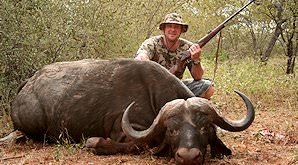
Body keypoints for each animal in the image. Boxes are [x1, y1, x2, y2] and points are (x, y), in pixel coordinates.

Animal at [10, 58, 255, 164]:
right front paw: (95, 143)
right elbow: (139, 144)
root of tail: (28, 84)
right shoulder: (126, 130)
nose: (188, 157)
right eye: (172, 130)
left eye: (205, 128)